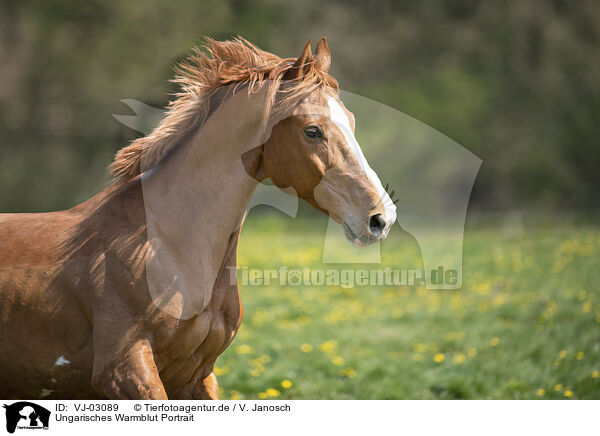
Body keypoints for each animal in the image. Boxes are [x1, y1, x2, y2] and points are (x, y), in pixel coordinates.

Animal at [0, 37, 396, 398]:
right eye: (312, 130)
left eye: (351, 121)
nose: (380, 217)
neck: (166, 245)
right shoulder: (124, 370)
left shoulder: (197, 374)